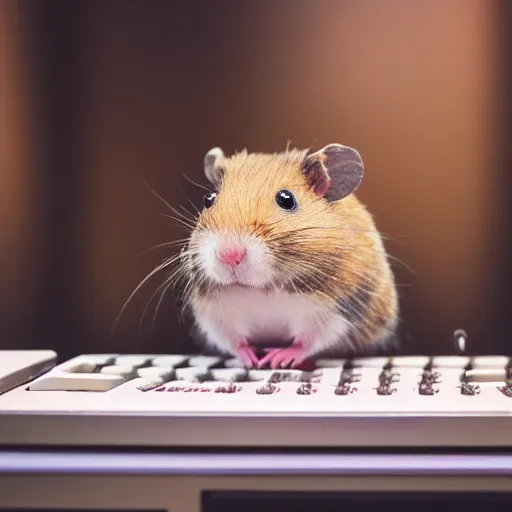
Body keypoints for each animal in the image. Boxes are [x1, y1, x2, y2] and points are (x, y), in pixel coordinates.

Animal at [181, 144, 400, 368]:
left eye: (287, 199)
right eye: (209, 199)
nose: (229, 255)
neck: (263, 288)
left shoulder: (335, 310)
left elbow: (309, 340)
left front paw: (276, 359)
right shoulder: (214, 314)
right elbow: (232, 340)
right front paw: (251, 360)